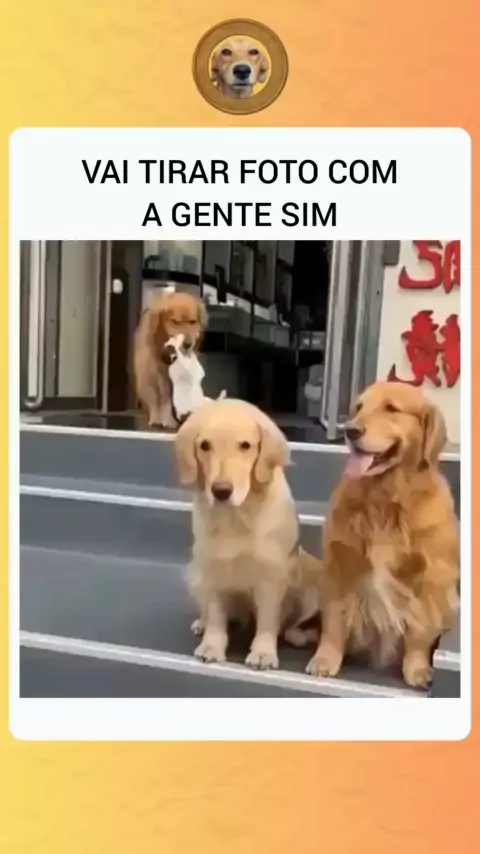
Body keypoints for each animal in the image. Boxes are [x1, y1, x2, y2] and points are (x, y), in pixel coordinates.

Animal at [133, 288, 207, 429]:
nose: (188, 344)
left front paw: (169, 420)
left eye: (193, 322)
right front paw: (157, 419)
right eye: (175, 321)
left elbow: (169, 399)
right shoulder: (151, 373)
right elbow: (156, 397)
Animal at [174, 398, 322, 669]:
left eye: (245, 446)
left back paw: (296, 635)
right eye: (204, 446)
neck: (236, 517)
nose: (221, 491)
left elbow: (267, 622)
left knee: (290, 623)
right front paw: (212, 646)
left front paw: (263, 653)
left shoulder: (271, 577)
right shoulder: (213, 571)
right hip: (195, 575)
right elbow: (216, 615)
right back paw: (201, 623)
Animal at [306, 381, 460, 689]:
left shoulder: (429, 574)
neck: (385, 499)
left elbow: (420, 629)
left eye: (391, 408)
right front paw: (325, 658)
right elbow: (335, 619)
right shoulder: (340, 563)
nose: (350, 430)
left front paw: (417, 668)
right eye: (359, 406)